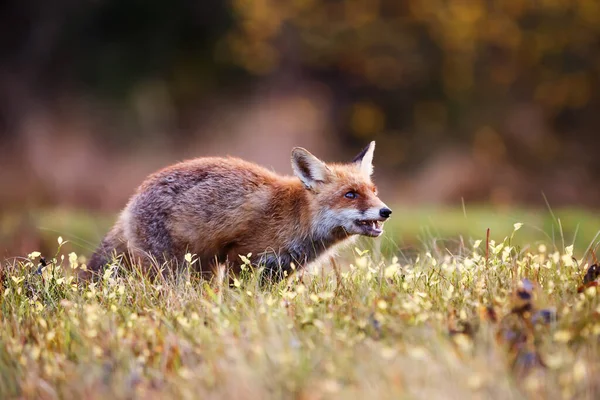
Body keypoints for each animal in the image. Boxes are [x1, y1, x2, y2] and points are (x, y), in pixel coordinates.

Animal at [86, 141, 392, 282]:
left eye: (373, 190)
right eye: (350, 195)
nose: (385, 211)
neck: (295, 216)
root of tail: (132, 199)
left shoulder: (278, 272)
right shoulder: (242, 257)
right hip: (171, 270)